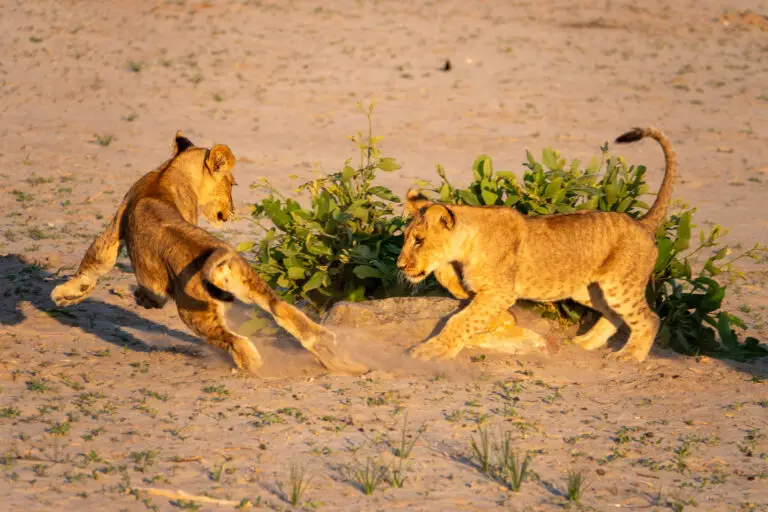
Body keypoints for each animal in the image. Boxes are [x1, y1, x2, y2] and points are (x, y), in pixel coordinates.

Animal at [51, 132, 366, 375]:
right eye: (232, 184)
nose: (233, 211)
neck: (169, 171)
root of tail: (217, 254)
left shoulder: (118, 224)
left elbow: (96, 261)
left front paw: (66, 294)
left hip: (195, 313)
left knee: (235, 340)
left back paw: (256, 366)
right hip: (253, 285)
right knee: (285, 313)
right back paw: (340, 360)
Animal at [397, 127, 676, 362]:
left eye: (419, 240)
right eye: (406, 237)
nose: (400, 265)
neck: (466, 245)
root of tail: (642, 223)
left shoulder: (501, 291)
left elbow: (462, 320)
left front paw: (433, 350)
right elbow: (463, 297)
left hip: (619, 285)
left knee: (650, 318)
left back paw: (630, 355)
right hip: (589, 289)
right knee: (615, 315)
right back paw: (584, 342)